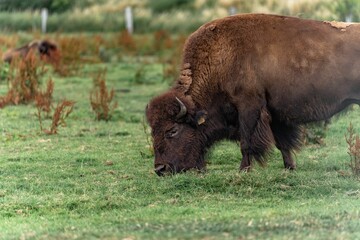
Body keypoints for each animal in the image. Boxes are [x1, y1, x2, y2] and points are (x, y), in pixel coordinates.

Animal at [146, 13, 360, 176]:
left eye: (172, 130)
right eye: (153, 131)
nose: (160, 169)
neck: (221, 57)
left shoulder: (249, 107)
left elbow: (246, 142)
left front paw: (243, 170)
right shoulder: (276, 114)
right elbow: (283, 143)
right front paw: (289, 168)